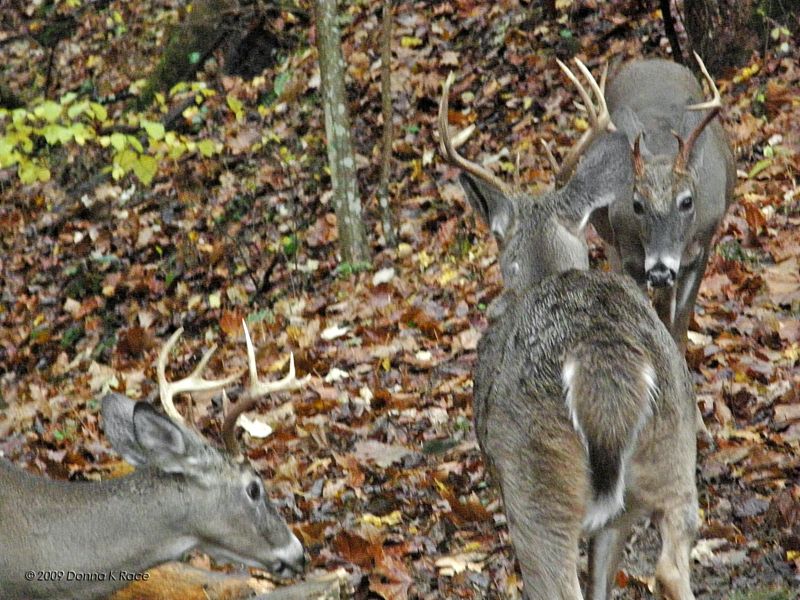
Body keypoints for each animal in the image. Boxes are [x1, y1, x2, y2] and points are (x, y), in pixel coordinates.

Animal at [552, 52, 736, 352]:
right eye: (636, 204)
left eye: (687, 201)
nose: (660, 272)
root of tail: (651, 61)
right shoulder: (629, 251)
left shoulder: (703, 244)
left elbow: (679, 323)